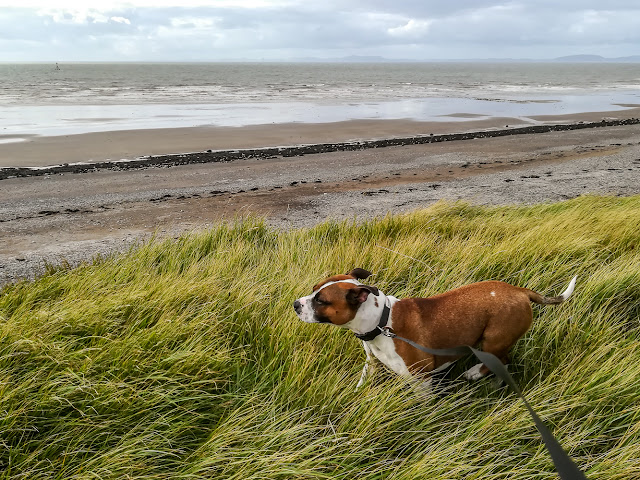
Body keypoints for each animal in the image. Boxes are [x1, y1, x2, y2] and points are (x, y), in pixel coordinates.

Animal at [292, 268, 576, 388]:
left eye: (321, 301)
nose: (295, 304)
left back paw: (475, 373)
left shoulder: (420, 381)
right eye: (314, 289)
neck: (381, 322)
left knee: (502, 359)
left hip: (493, 339)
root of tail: (520, 291)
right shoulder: (372, 364)